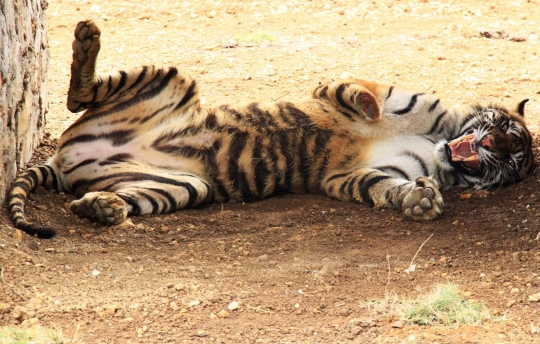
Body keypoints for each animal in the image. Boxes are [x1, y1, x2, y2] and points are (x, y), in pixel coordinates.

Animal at [5, 20, 536, 238]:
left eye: (513, 158)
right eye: (505, 128)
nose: (494, 142)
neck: (440, 142)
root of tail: (62, 160)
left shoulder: (352, 176)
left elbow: (384, 188)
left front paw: (419, 202)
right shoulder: (366, 93)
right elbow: (356, 90)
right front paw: (364, 104)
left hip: (185, 186)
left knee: (120, 196)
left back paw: (102, 209)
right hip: (172, 78)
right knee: (77, 95)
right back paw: (86, 38)